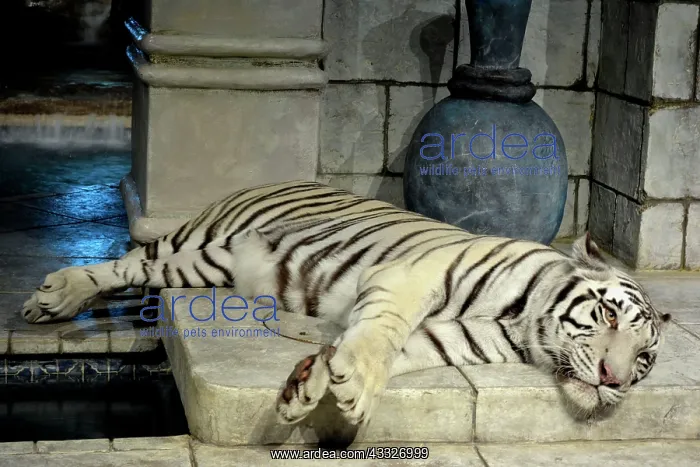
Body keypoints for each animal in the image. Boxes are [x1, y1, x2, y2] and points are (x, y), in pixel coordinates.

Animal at [20, 180, 671, 426]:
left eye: (643, 359)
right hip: (201, 249)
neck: (521, 325)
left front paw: (307, 386)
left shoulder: (455, 338)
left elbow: (398, 351)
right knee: (126, 262)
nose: (613, 381)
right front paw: (350, 384)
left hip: (205, 268)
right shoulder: (408, 277)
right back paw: (55, 297)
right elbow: (380, 334)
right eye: (608, 315)